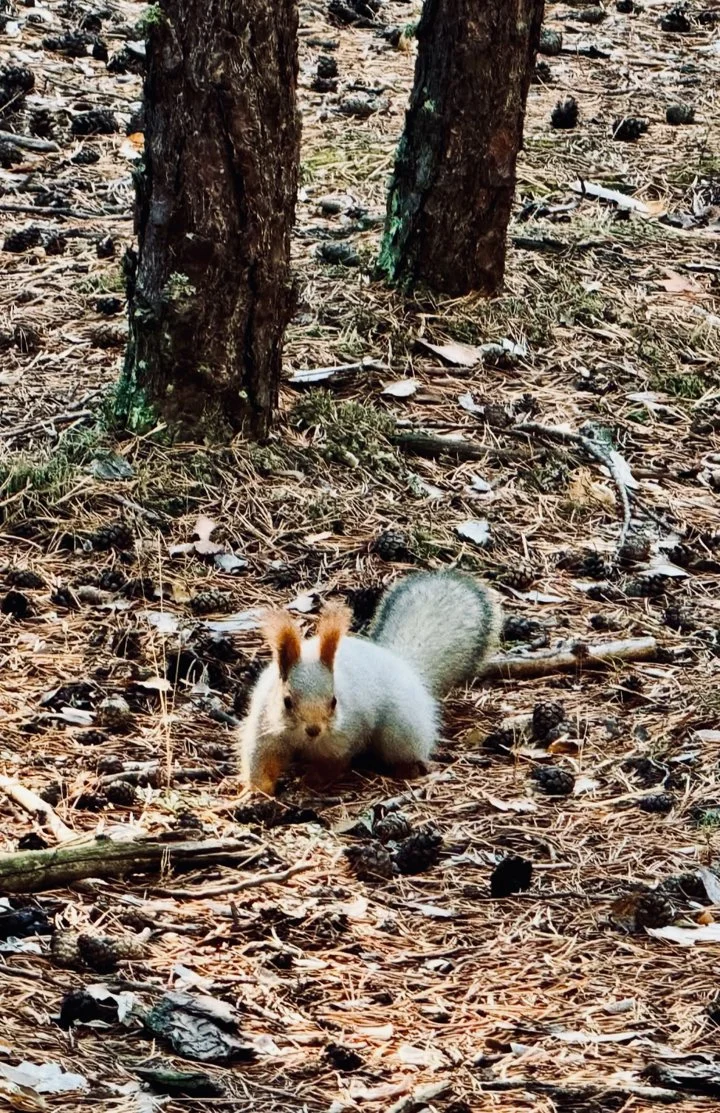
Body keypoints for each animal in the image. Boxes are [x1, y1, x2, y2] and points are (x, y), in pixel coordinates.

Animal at [238, 570, 502, 795]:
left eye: (334, 701)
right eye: (287, 701)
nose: (314, 729)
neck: (302, 739)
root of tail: (402, 664)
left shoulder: (344, 737)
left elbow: (332, 765)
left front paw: (311, 781)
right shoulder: (264, 728)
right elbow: (261, 762)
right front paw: (255, 792)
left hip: (400, 730)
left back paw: (406, 770)